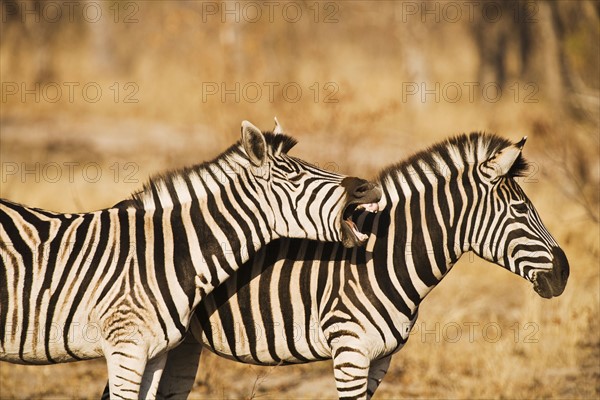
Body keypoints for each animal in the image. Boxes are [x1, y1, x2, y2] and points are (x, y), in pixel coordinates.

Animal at [151, 134, 572, 400]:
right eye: (520, 210)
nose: (564, 273)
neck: (382, 262)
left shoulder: (380, 359)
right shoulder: (350, 351)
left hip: (181, 345)